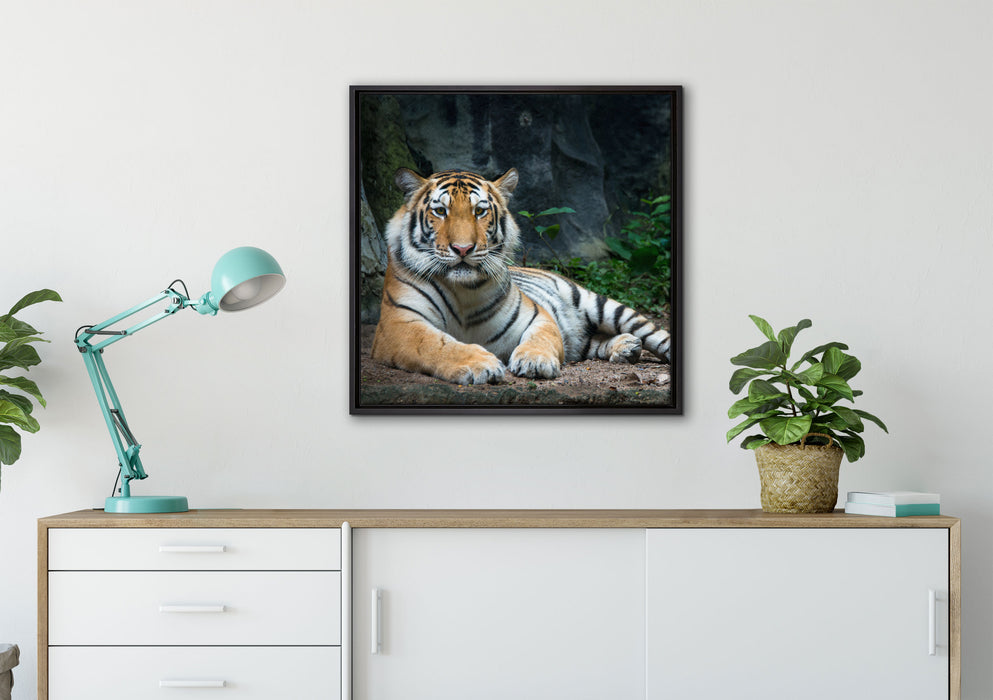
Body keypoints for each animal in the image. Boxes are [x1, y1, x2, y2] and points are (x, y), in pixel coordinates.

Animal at [370, 167, 671, 385]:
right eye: (440, 211)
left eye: (479, 211)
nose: (463, 249)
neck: (463, 290)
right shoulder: (399, 325)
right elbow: (437, 345)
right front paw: (481, 364)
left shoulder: (537, 316)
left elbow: (541, 339)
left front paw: (534, 362)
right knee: (588, 342)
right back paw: (626, 347)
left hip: (600, 305)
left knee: (655, 335)